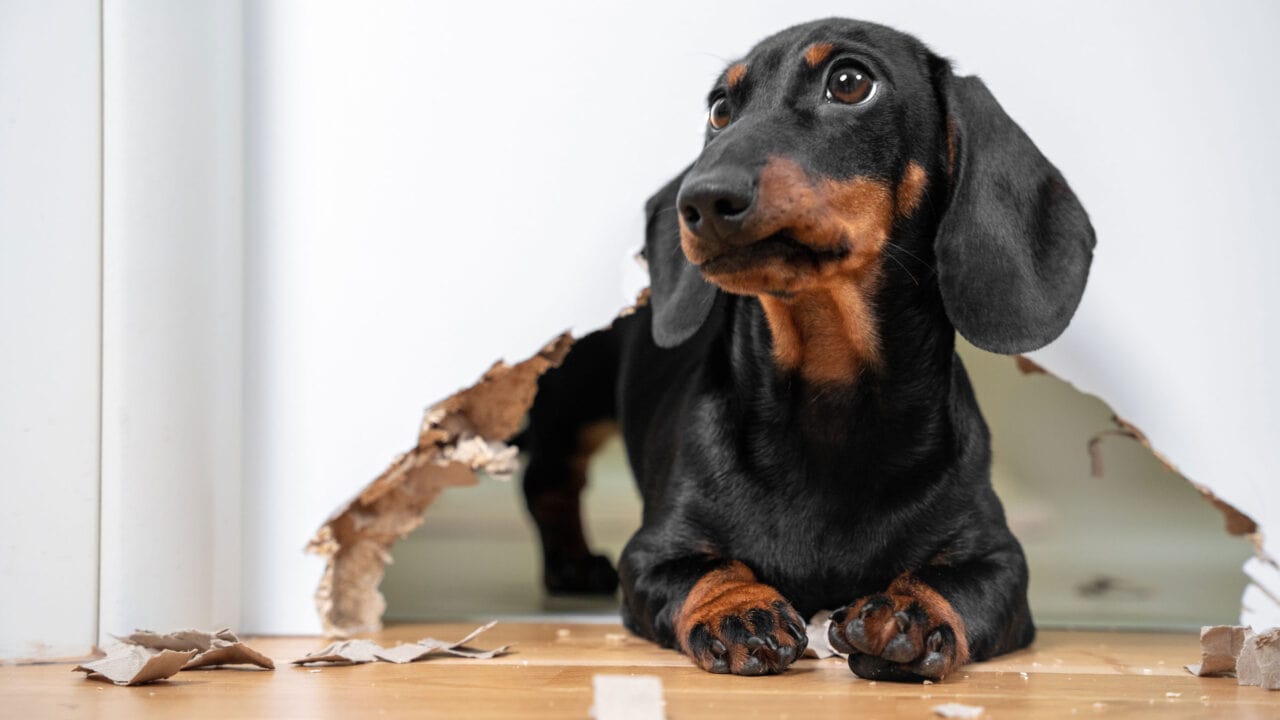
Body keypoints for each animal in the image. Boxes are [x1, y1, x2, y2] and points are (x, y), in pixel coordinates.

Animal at [517, 16, 1090, 676]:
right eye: (719, 109)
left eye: (849, 82)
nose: (701, 199)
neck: (828, 388)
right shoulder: (654, 551)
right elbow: (705, 569)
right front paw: (739, 609)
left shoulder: (999, 559)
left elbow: (958, 583)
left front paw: (908, 612)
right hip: (574, 398)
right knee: (549, 478)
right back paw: (571, 563)